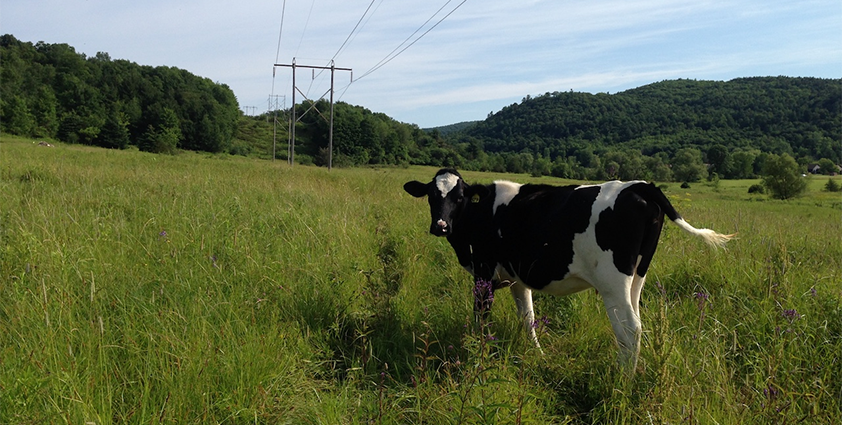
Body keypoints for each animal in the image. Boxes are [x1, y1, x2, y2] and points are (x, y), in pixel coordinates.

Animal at [402, 167, 728, 366]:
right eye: (432, 195)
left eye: (459, 197)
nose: (440, 226)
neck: (478, 216)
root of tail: (639, 185)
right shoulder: (518, 278)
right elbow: (528, 318)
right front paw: (538, 354)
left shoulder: (482, 274)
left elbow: (481, 321)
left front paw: (479, 355)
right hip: (637, 276)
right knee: (636, 323)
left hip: (612, 282)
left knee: (629, 329)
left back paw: (624, 381)